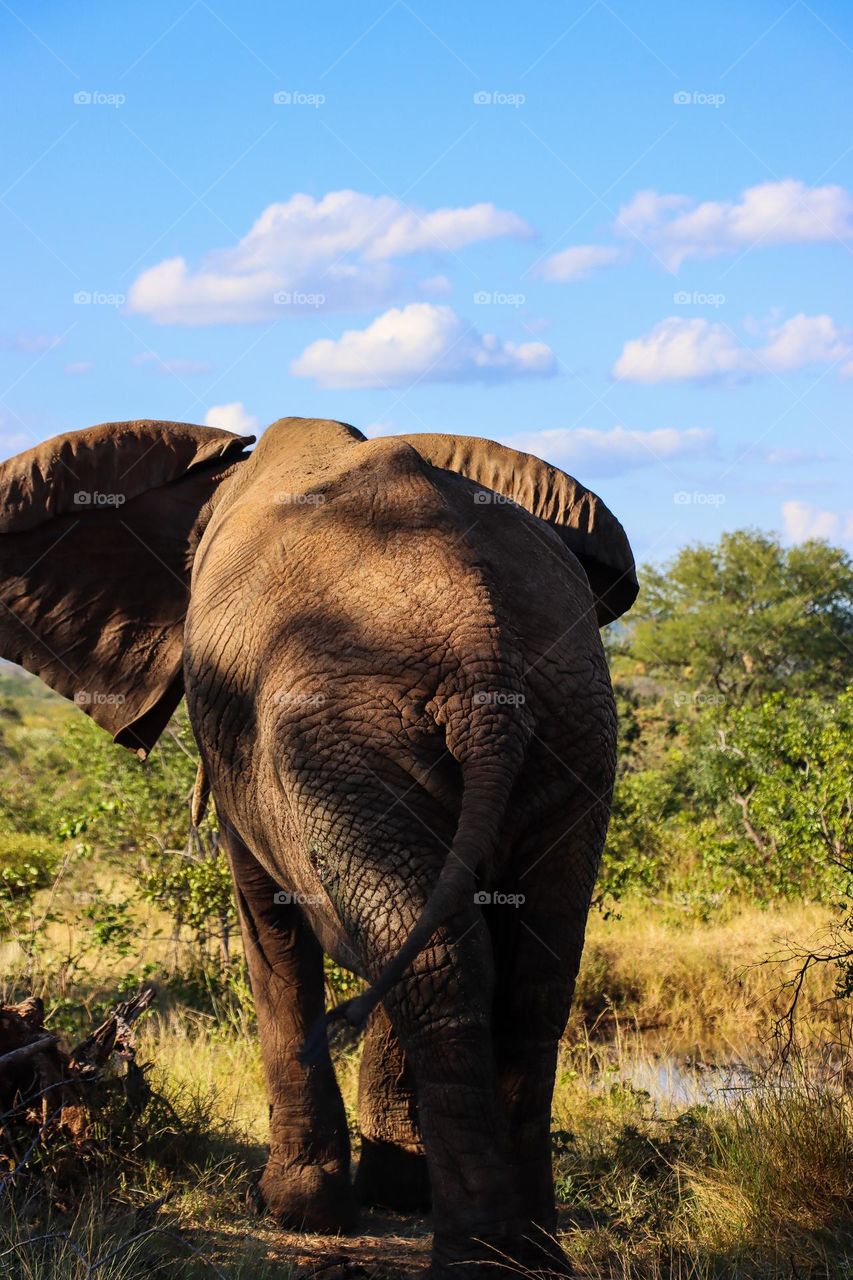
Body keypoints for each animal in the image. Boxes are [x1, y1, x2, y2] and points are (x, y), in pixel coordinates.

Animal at [0, 415, 637, 1276]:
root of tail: (479, 639)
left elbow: (269, 932)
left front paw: (296, 1211)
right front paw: (393, 1193)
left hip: (343, 732)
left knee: (437, 956)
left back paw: (476, 1255)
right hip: (566, 726)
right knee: (519, 965)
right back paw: (532, 1252)